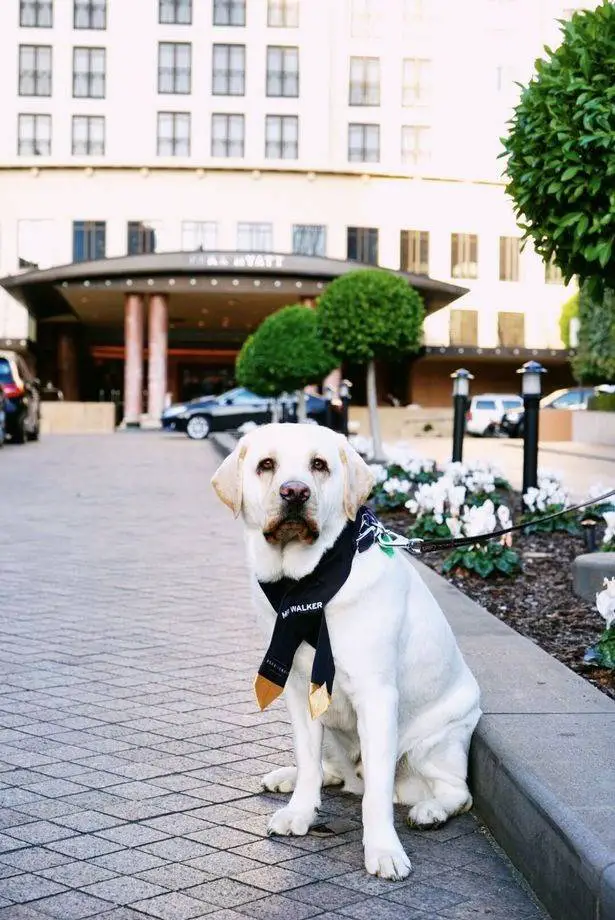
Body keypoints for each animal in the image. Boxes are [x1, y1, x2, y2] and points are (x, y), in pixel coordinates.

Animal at [212, 426, 482, 884]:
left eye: (319, 464)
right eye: (266, 465)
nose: (295, 491)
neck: (306, 585)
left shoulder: (377, 696)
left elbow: (376, 795)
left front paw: (384, 850)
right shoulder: (299, 690)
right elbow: (307, 757)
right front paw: (301, 812)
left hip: (435, 744)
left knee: (456, 793)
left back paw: (429, 810)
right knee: (328, 770)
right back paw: (291, 778)